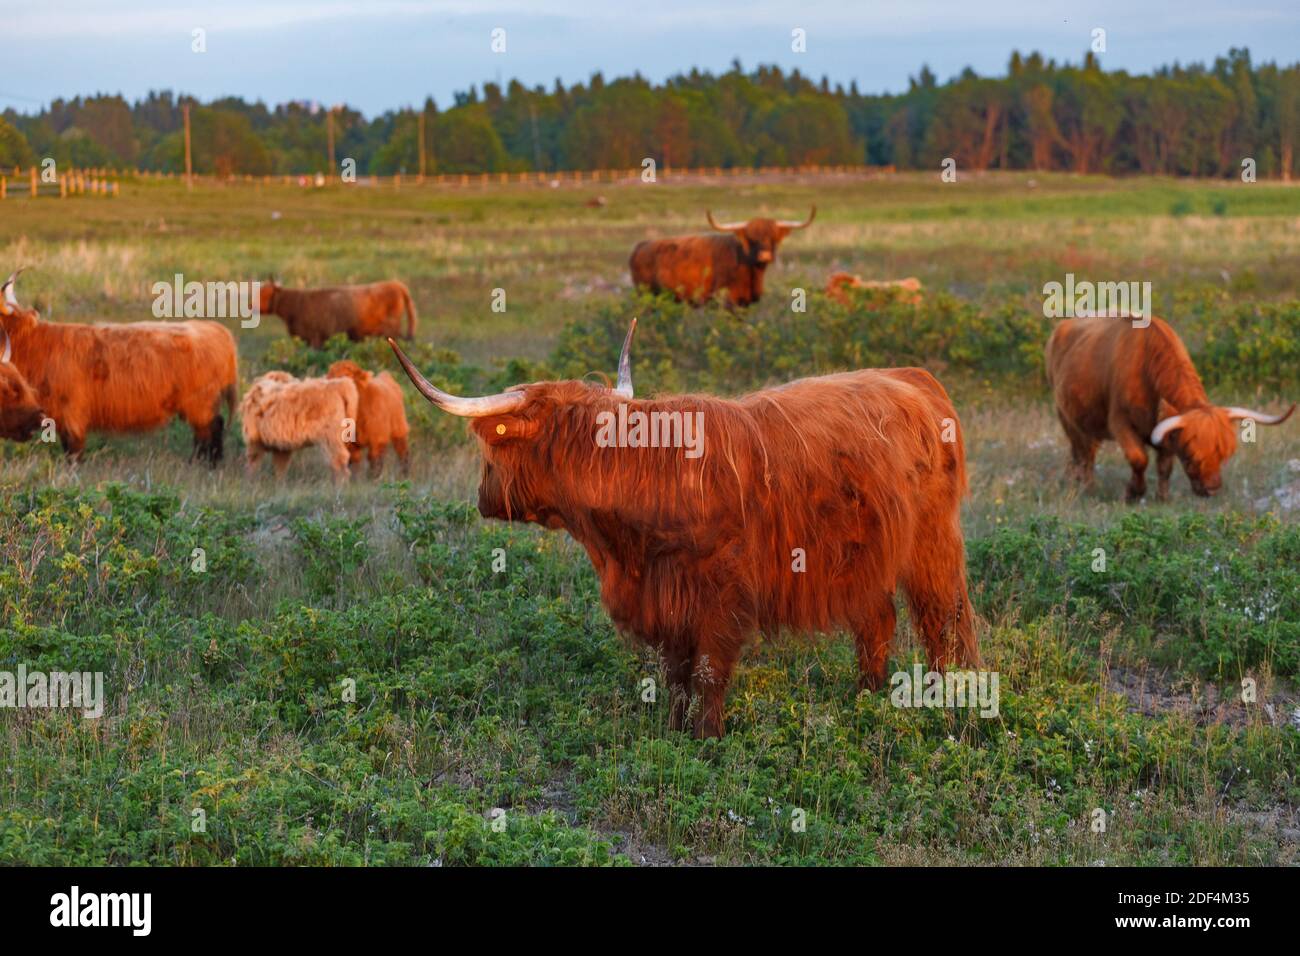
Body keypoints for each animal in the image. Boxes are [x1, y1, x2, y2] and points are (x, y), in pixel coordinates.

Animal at [0, 270, 238, 462]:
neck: (34, 346)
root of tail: (214, 328)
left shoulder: (71, 414)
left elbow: (73, 452)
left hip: (201, 403)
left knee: (210, 429)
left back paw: (205, 464)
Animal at [388, 320, 978, 738]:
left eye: (492, 449)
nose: (482, 498)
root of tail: (910, 376)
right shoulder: (666, 597)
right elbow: (675, 670)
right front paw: (673, 730)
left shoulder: (722, 592)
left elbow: (709, 670)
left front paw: (708, 737)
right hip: (868, 555)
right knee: (877, 621)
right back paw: (866, 698)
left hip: (931, 543)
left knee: (944, 621)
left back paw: (951, 706)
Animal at [1046, 314, 1295, 499]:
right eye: (1192, 455)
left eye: (1224, 454)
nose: (1212, 489)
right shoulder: (1119, 421)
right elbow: (1139, 459)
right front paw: (1133, 493)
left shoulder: (1166, 429)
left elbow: (1164, 466)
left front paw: (1162, 497)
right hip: (1066, 417)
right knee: (1083, 453)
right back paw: (1085, 486)